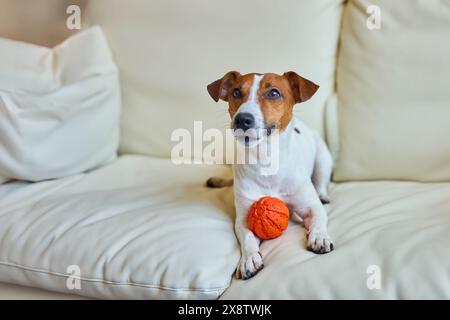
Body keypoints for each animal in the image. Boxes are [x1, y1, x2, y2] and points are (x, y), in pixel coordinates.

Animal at [206, 71, 332, 278]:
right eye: (236, 92)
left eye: (273, 93)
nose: (242, 119)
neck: (265, 160)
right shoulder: (243, 218)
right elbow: (247, 237)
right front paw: (248, 258)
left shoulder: (310, 206)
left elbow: (319, 219)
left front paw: (319, 236)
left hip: (323, 158)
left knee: (321, 182)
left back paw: (323, 194)